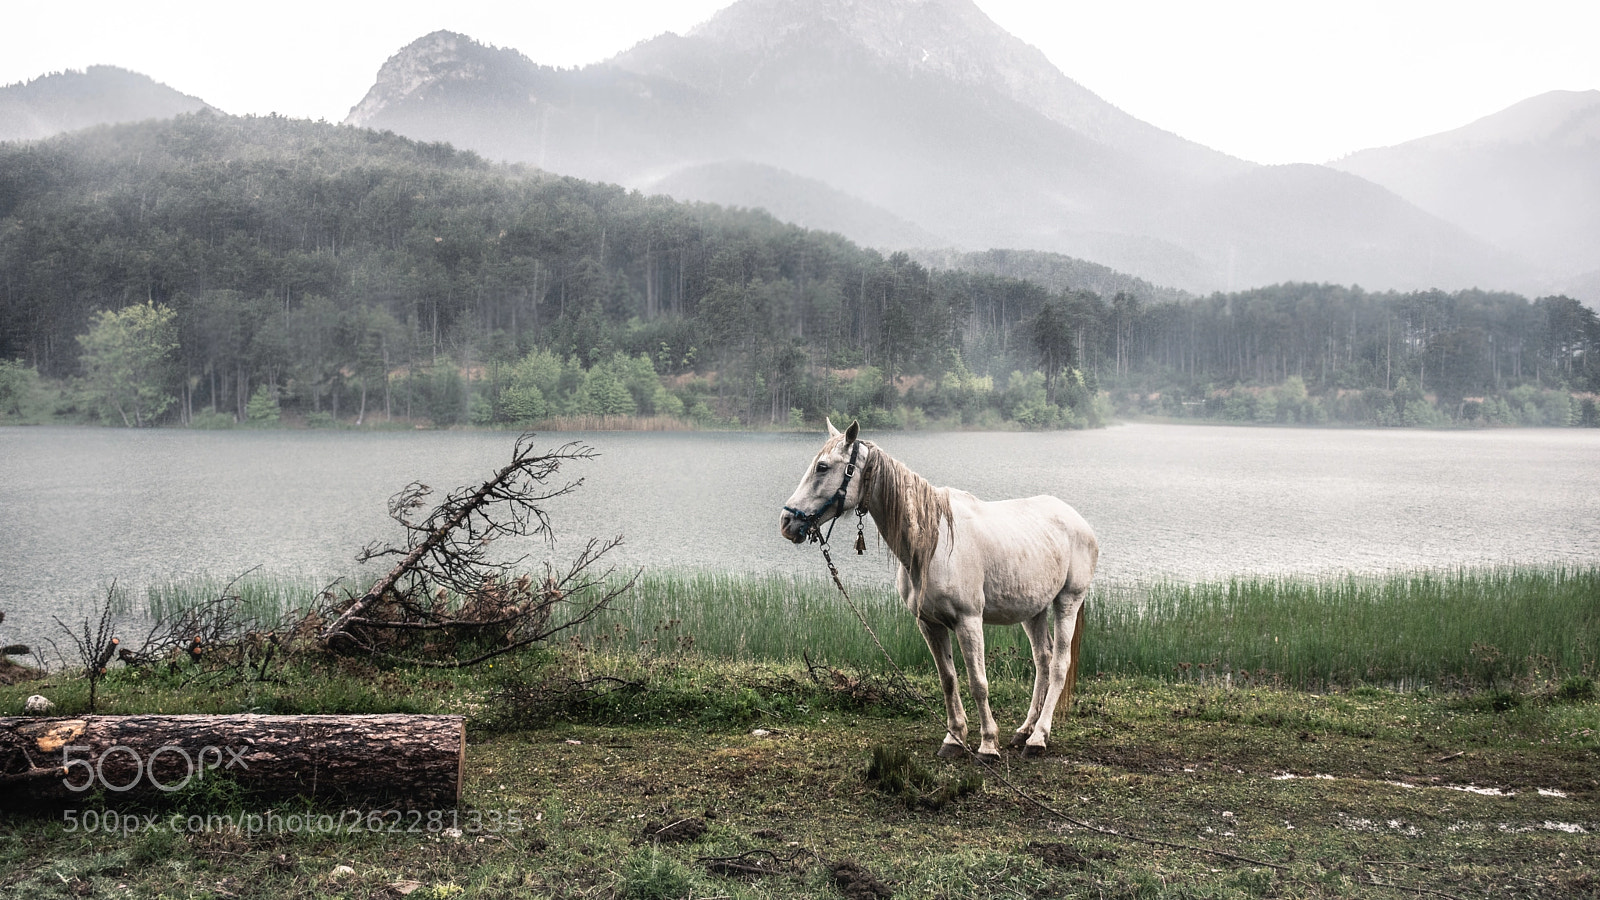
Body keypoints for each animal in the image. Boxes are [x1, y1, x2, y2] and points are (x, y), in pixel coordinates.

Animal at [780, 419, 1098, 760]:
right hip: (1033, 610)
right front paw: (954, 739)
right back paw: (1024, 731)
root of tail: (1078, 521)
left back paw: (1038, 738)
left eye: (823, 467)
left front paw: (988, 744)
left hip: (1067, 601)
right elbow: (948, 680)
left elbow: (978, 683)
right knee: (1043, 660)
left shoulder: (969, 622)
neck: (931, 544)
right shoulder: (930, 624)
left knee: (1059, 665)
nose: (786, 521)